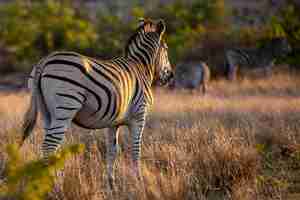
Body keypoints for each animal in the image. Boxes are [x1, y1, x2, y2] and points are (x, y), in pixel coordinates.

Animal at [21, 18, 173, 186]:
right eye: (166, 49)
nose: (170, 77)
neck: (141, 67)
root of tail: (45, 60)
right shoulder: (139, 115)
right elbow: (136, 149)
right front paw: (138, 181)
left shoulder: (114, 122)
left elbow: (113, 150)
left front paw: (111, 183)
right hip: (65, 107)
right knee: (49, 146)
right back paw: (55, 185)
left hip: (47, 112)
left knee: (49, 147)